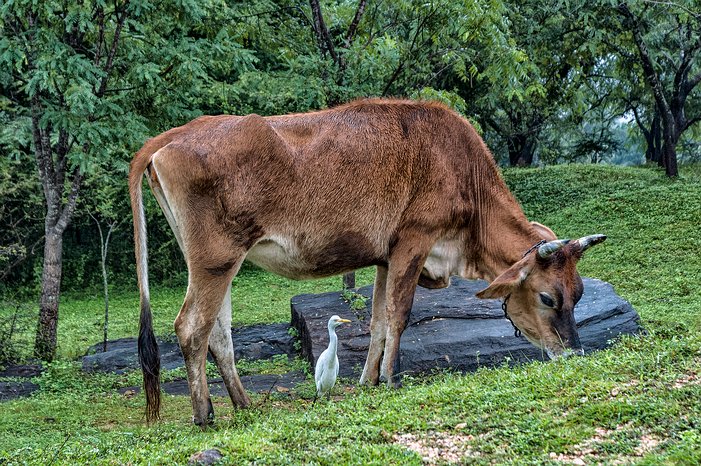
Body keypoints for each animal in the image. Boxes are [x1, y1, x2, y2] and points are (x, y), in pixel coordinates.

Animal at [129, 98, 604, 426]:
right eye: (547, 298)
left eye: (579, 294)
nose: (574, 352)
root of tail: (173, 135)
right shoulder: (414, 241)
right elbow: (399, 315)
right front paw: (391, 378)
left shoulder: (384, 258)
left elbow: (377, 321)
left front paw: (368, 380)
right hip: (216, 259)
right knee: (192, 327)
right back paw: (204, 414)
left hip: (218, 263)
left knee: (219, 333)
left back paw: (243, 404)